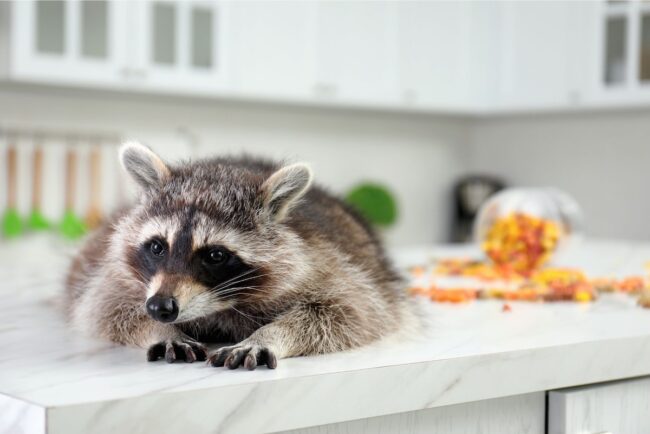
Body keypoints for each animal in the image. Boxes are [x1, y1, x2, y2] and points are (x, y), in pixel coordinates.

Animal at [65, 142, 417, 370]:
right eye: (156, 247)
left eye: (215, 255)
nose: (160, 307)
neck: (219, 306)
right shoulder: (115, 276)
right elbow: (106, 307)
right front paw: (159, 330)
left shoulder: (327, 263)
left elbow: (349, 313)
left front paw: (270, 335)